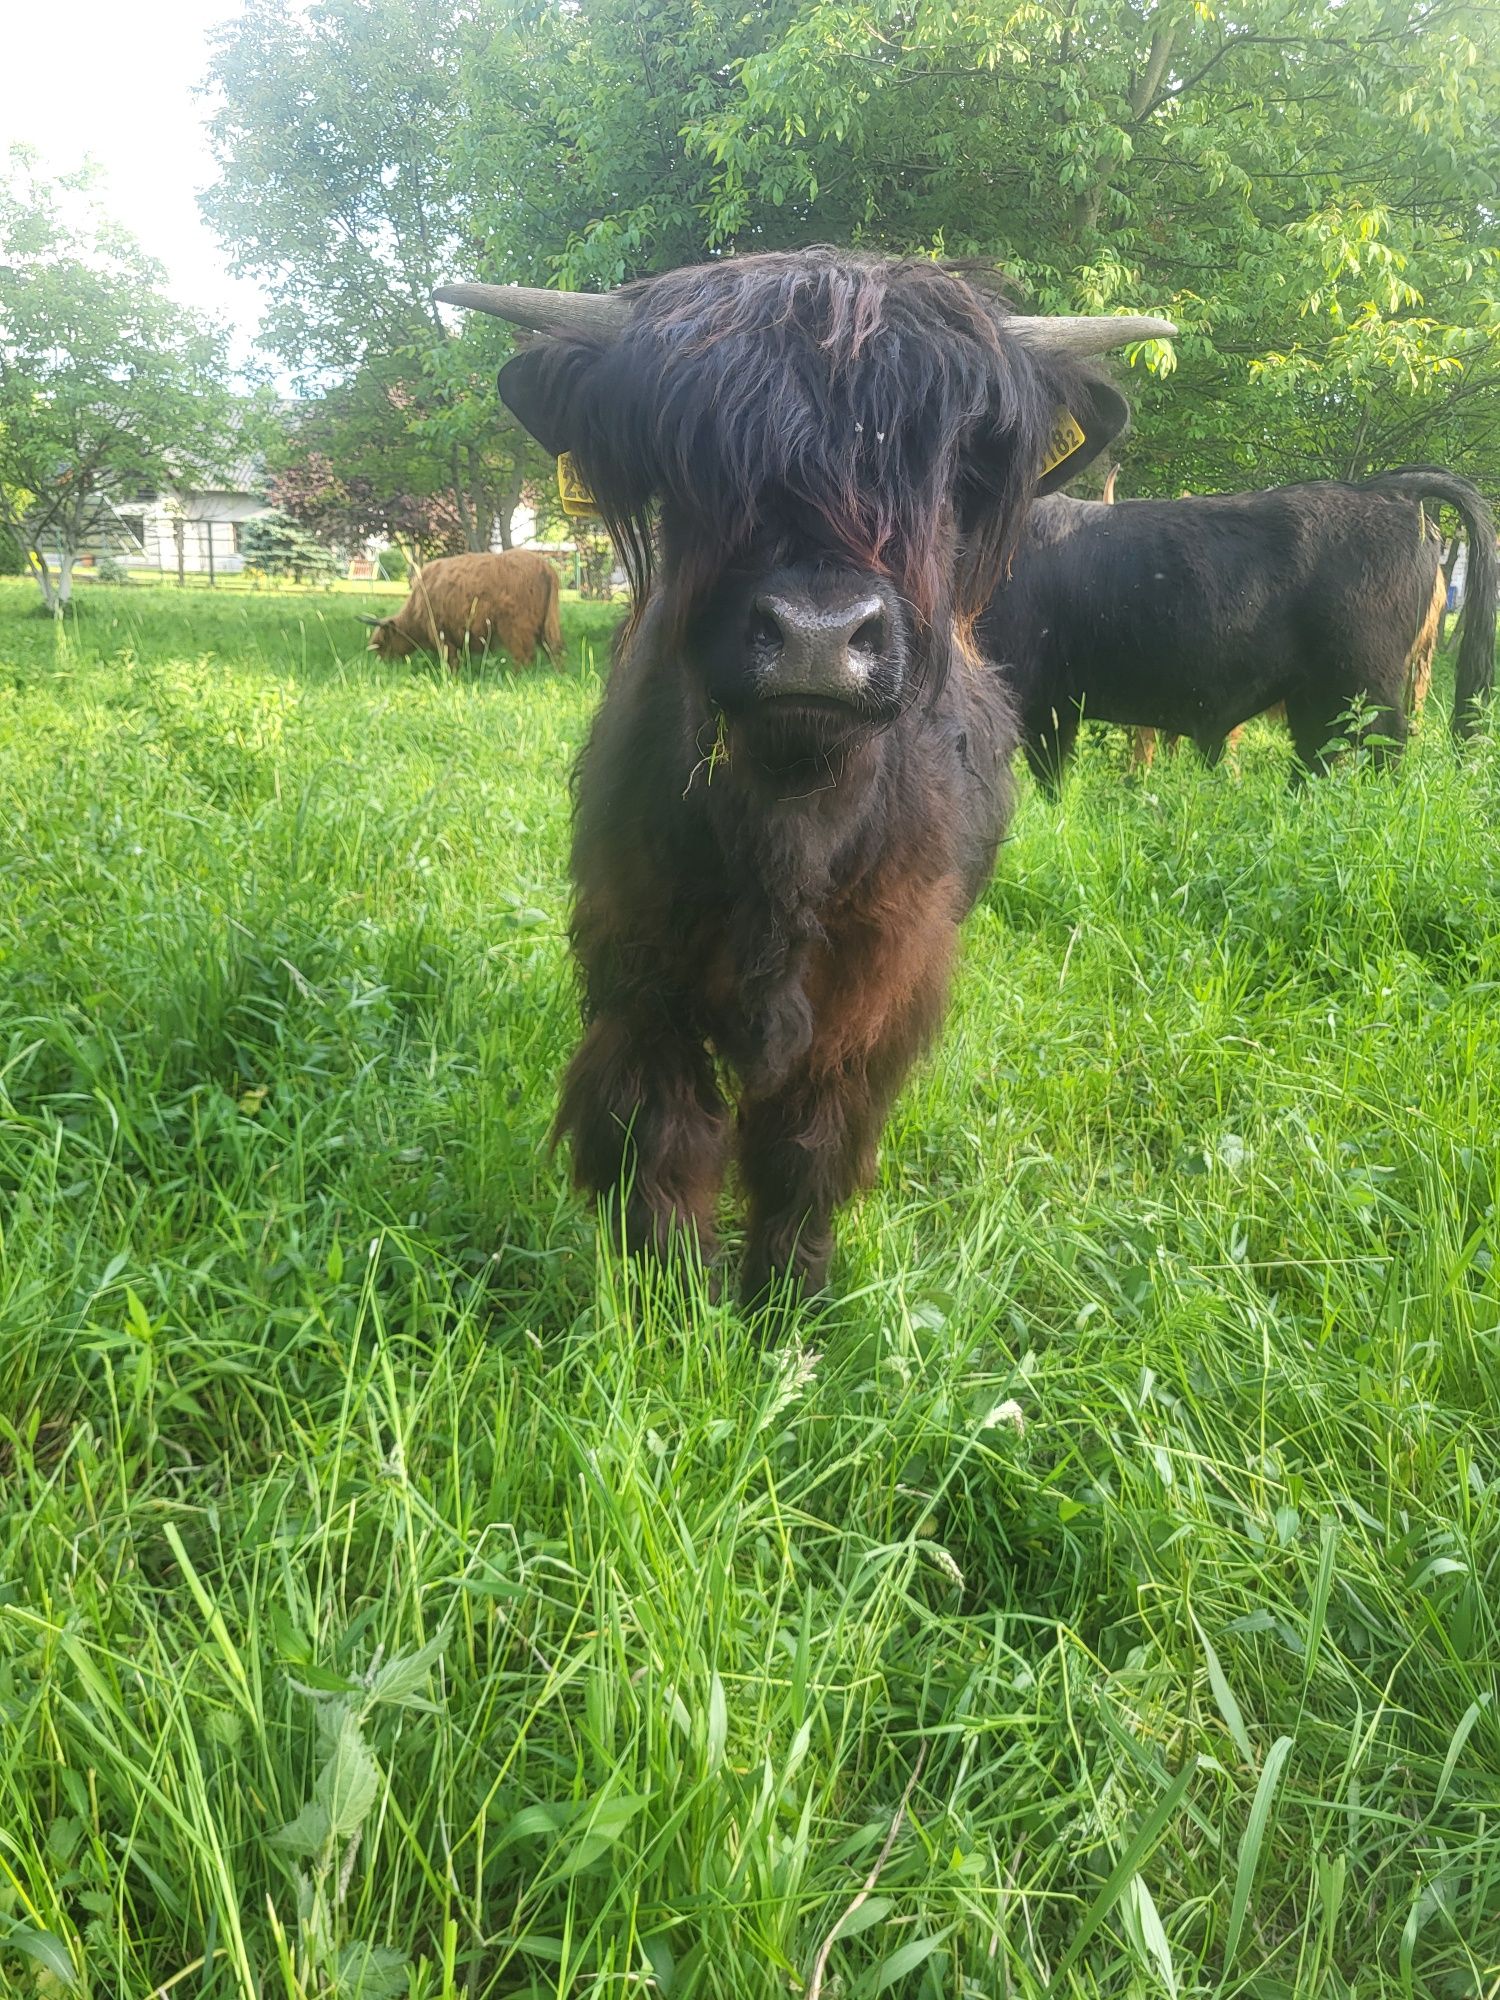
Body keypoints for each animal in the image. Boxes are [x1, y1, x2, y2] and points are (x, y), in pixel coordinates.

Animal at [362, 548, 568, 672]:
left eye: (382, 644)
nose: (380, 666)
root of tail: (546, 566)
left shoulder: (440, 633)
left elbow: (449, 660)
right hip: (546, 624)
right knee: (554, 650)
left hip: (515, 626)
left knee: (524, 655)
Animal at [434, 250, 1176, 1304]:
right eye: (692, 468)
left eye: (944, 470)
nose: (818, 639)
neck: (788, 822)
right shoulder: (634, 964)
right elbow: (658, 1135)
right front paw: (677, 1305)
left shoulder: (878, 986)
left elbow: (808, 1147)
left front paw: (786, 1301)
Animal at [988, 464, 1500, 784]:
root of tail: (1385, 491)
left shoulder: (1041, 701)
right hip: (1316, 696)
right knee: (1317, 758)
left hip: (1368, 686)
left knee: (1383, 751)